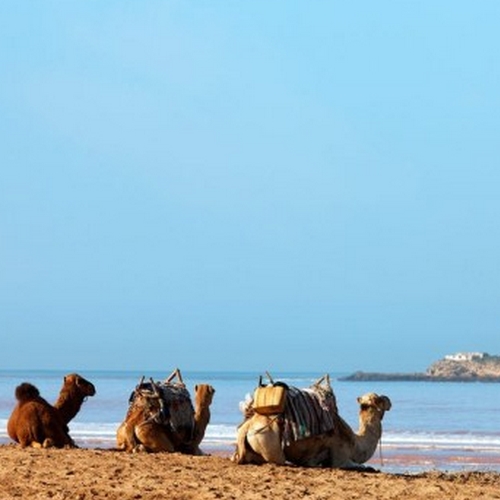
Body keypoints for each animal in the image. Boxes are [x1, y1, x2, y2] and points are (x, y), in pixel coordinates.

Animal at [230, 376, 390, 468]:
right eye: (379, 400)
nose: (389, 401)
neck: (355, 443)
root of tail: (247, 427)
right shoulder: (340, 457)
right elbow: (365, 467)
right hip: (268, 439)